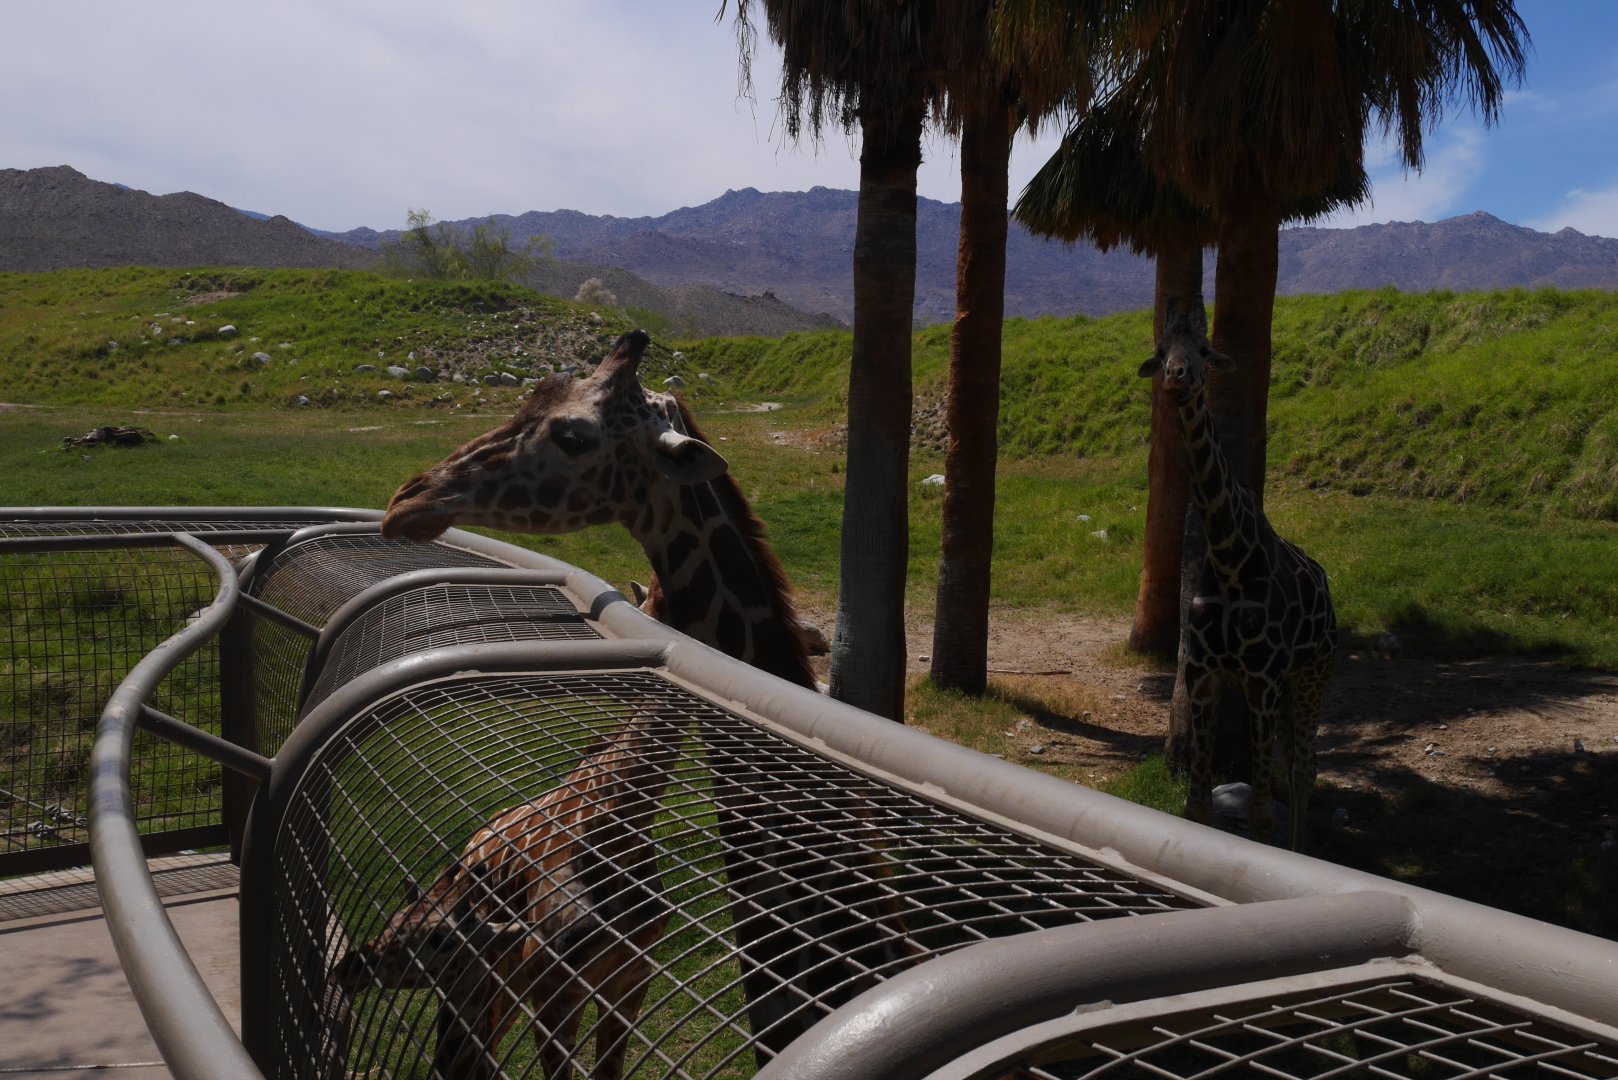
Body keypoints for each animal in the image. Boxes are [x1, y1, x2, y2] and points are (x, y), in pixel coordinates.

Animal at [1138, 301, 1337, 850]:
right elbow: (1197, 806)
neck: (1229, 557)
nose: (1178, 378)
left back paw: (1300, 849)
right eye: (1161, 350)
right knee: (1297, 763)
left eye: (1204, 350)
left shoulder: (1262, 678)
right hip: (1285, 684)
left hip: (1313, 670)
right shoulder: (1204, 672)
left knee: (1305, 768)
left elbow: (1262, 817)